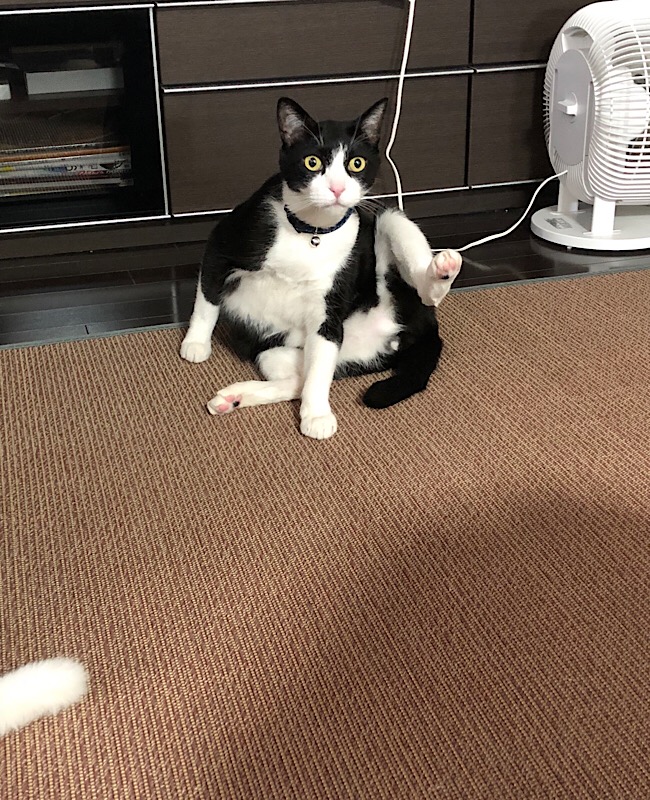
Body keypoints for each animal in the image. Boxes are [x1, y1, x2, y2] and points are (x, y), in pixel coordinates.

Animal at [180, 97, 462, 439]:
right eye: (312, 162)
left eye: (357, 164)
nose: (337, 188)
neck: (311, 231)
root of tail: (424, 327)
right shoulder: (223, 240)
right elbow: (207, 298)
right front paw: (196, 343)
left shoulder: (327, 311)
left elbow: (319, 371)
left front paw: (316, 415)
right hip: (275, 351)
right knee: (295, 380)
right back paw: (232, 398)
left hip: (386, 228)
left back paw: (442, 270)